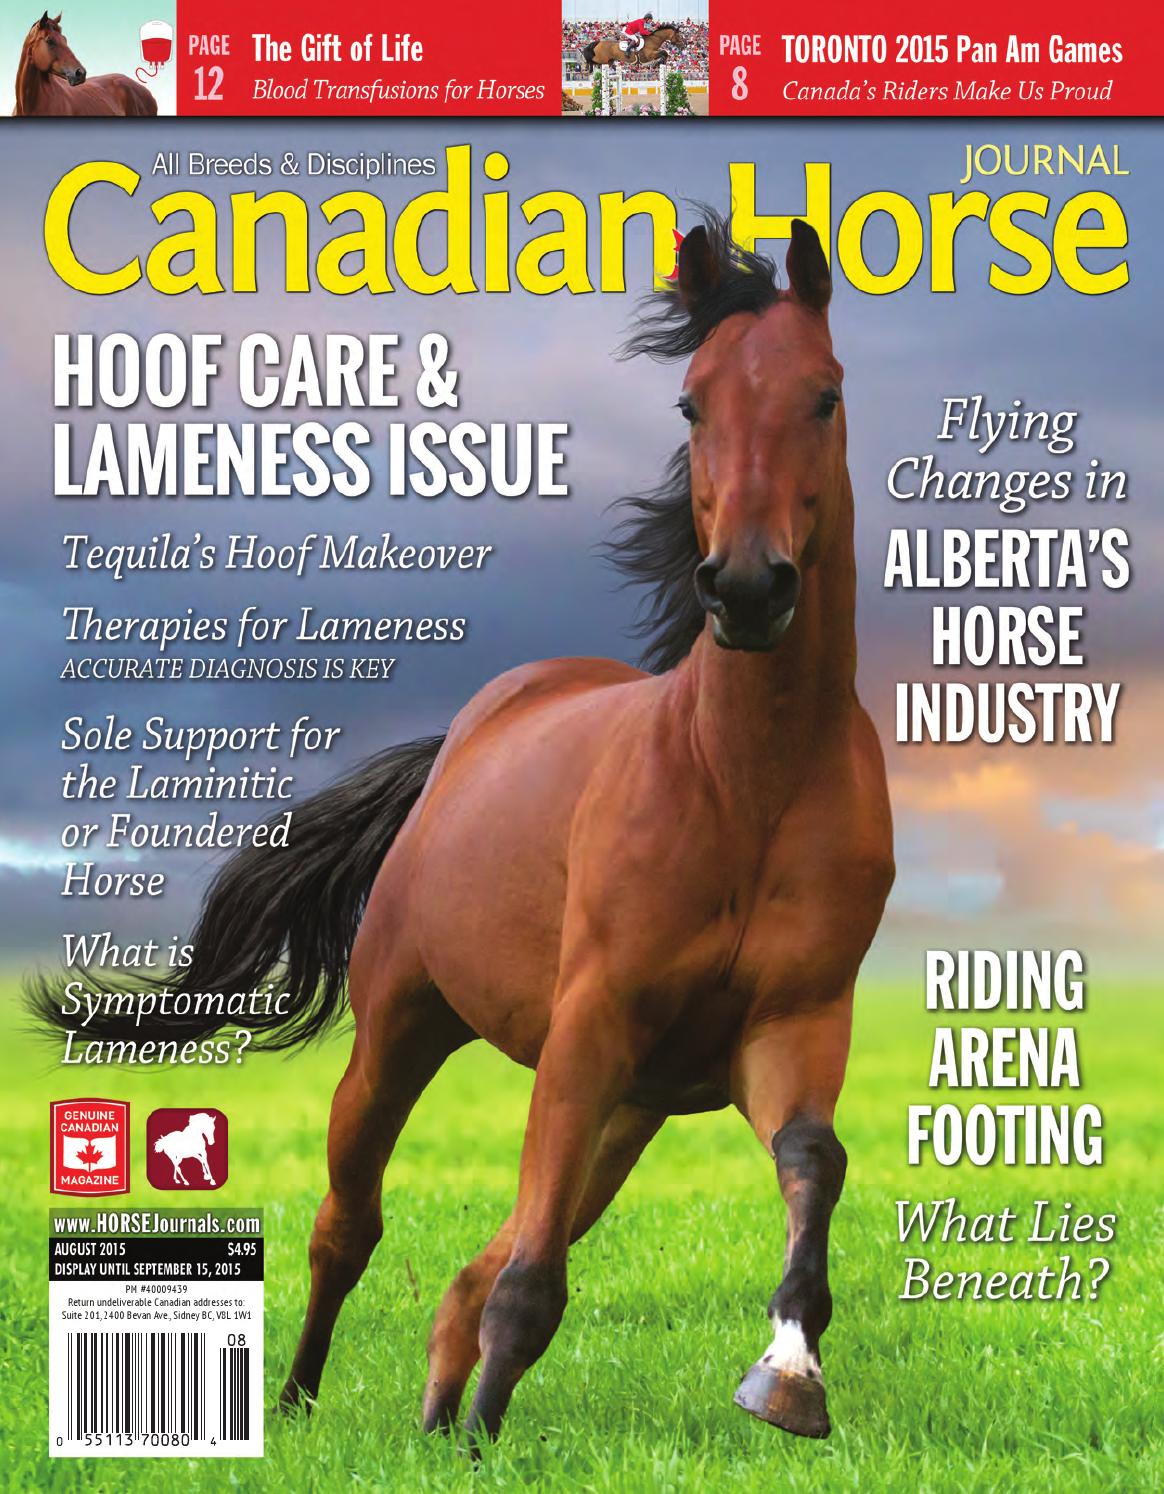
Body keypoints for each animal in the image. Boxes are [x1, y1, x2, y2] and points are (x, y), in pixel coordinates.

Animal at [31, 212, 894, 1447]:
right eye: (693, 404)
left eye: (823, 395)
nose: (745, 588)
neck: (746, 784)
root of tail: (466, 740)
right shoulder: (589, 1027)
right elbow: (529, 1280)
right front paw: (488, 1440)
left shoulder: (792, 1026)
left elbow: (811, 1161)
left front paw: (788, 1374)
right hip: (405, 1032)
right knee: (352, 1226)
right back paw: (301, 1405)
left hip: (633, 1107)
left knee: (471, 1273)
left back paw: (444, 1414)